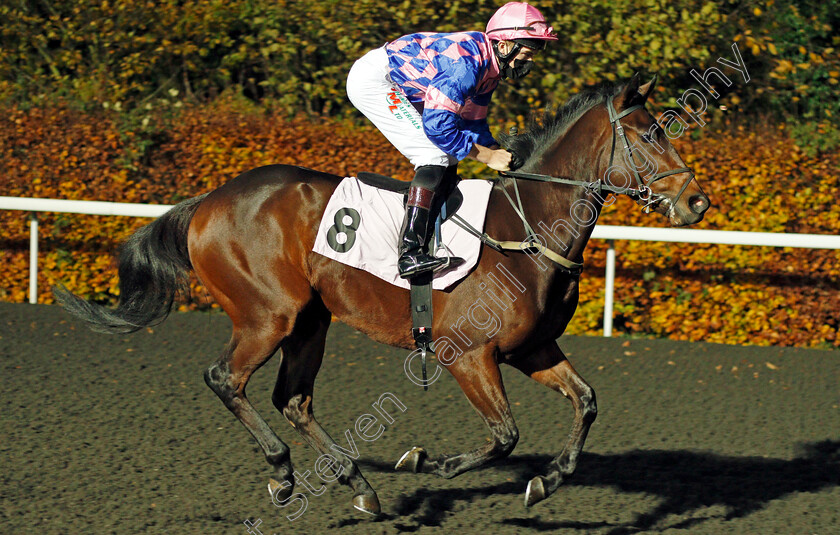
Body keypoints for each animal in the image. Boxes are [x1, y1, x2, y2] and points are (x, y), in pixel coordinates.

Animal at [54, 74, 708, 516]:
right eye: (651, 134)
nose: (697, 202)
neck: (526, 231)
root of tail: (209, 200)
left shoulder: (531, 350)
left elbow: (587, 401)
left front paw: (547, 479)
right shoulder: (468, 354)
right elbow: (505, 435)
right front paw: (427, 461)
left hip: (311, 321)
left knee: (293, 399)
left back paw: (357, 484)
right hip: (268, 315)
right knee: (226, 380)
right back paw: (284, 472)